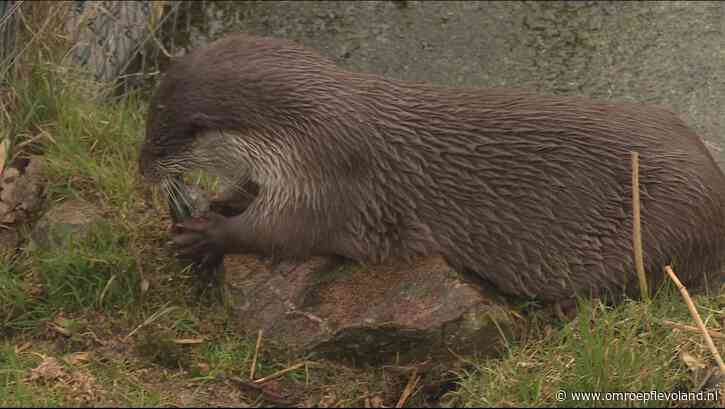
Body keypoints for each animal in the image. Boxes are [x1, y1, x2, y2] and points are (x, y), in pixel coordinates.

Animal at [139, 33, 725, 303]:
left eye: (157, 141)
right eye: (146, 130)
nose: (141, 168)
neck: (305, 131)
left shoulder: (330, 179)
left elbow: (282, 233)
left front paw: (208, 234)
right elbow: (251, 194)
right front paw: (223, 200)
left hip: (659, 232)